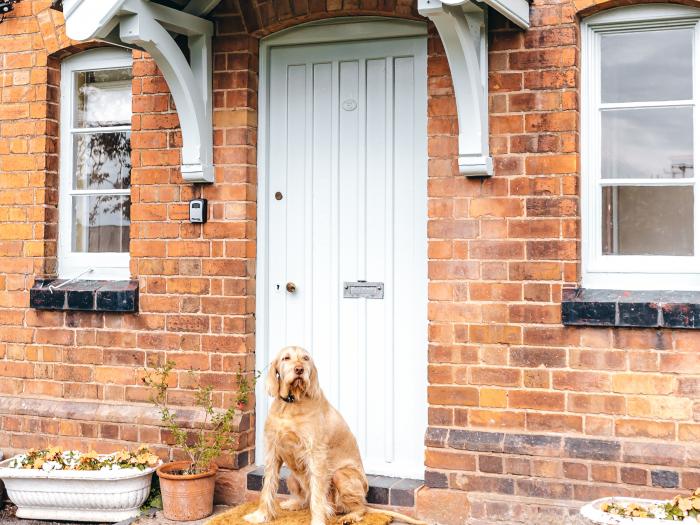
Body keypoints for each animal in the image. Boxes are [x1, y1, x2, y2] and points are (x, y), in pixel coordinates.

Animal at [243, 344, 424, 524]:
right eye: (286, 358)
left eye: (305, 358)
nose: (299, 369)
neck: (292, 403)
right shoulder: (273, 451)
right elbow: (268, 486)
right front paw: (260, 515)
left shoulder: (315, 454)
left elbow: (317, 495)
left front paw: (317, 521)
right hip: (291, 477)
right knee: (306, 499)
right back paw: (294, 503)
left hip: (340, 476)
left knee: (360, 508)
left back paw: (349, 517)